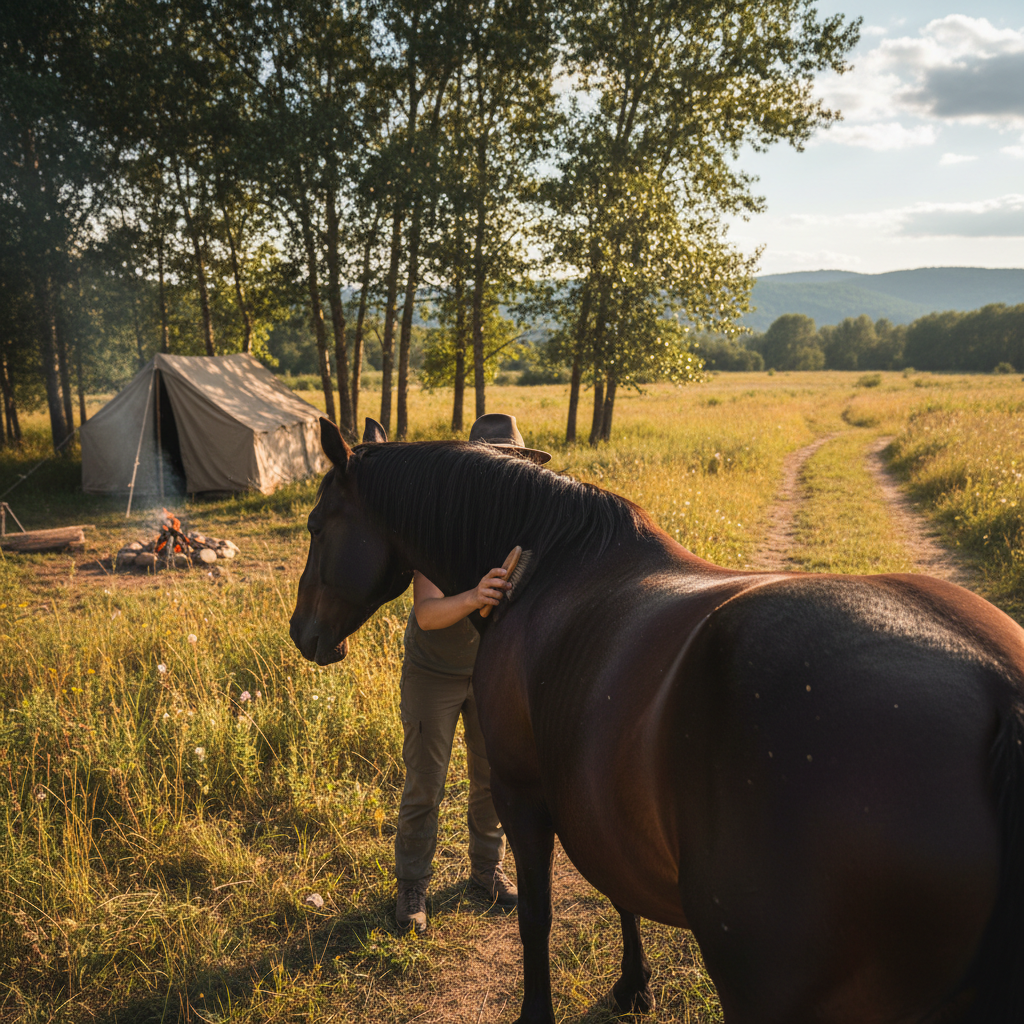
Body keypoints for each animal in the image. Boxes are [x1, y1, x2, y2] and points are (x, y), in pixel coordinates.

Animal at [290, 417, 1024, 1024]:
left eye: (317, 525)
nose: (301, 633)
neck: (542, 565)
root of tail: (997, 684)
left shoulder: (523, 792)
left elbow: (537, 914)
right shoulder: (601, 799)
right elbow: (621, 890)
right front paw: (632, 986)